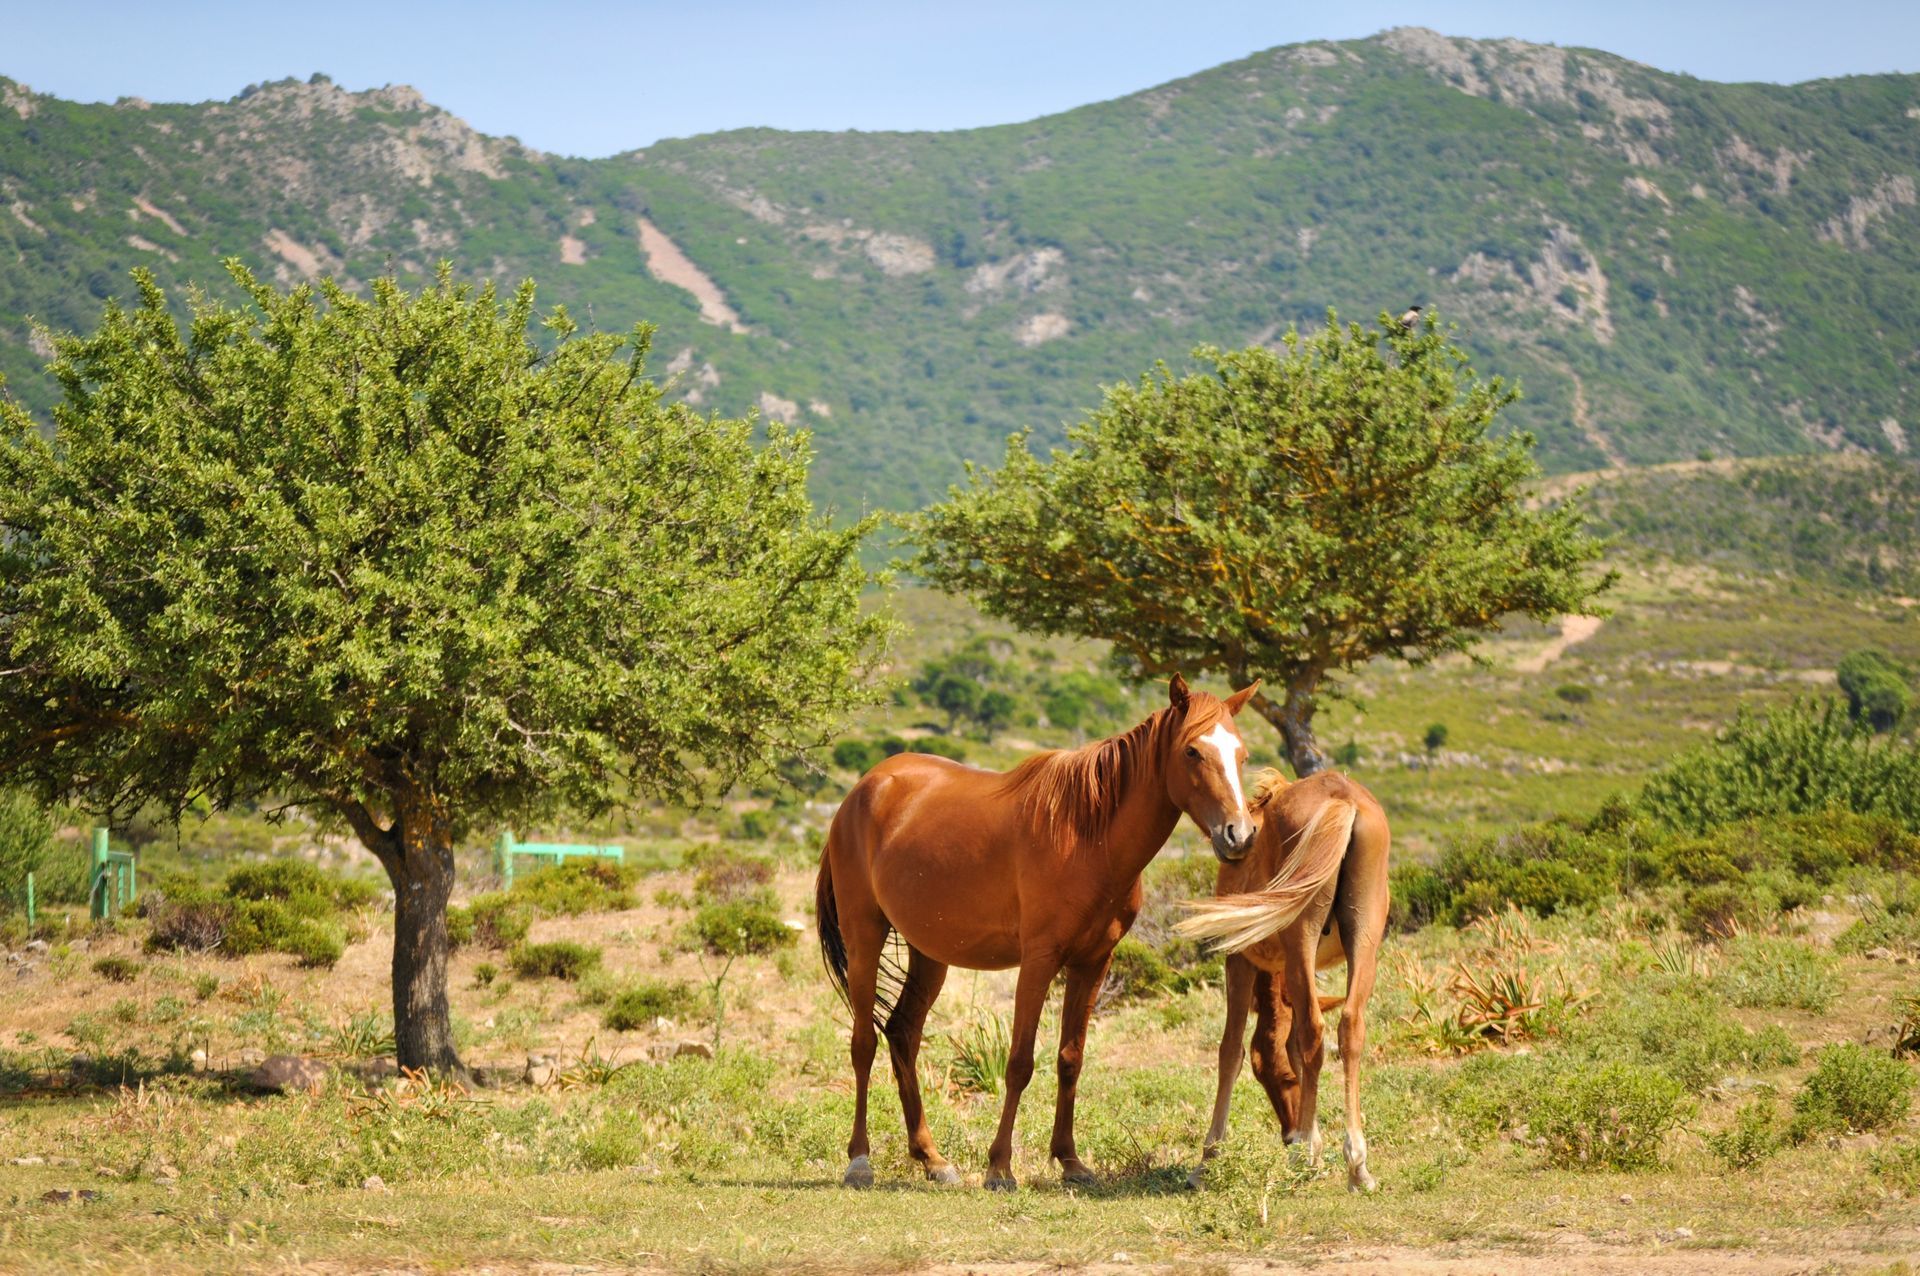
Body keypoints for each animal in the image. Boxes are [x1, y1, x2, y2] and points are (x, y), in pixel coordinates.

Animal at [816, 673, 1261, 1190]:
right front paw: (999, 1167)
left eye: (1242, 755)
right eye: (1192, 751)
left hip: (929, 952)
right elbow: (1019, 1062)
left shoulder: (1094, 961)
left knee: (902, 1033)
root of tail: (862, 790)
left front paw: (1070, 1160)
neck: (1088, 836)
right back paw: (859, 1161)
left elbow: (1070, 1058)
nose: (1239, 835)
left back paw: (932, 1159)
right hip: (864, 937)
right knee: (863, 1043)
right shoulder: (1039, 960)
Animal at [1176, 768, 1391, 1193]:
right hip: (1364, 942)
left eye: (1272, 1074)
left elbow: (1231, 1051)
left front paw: (1207, 1160)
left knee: (1312, 1031)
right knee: (1348, 1028)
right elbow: (1294, 1046)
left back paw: (1303, 1153)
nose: (1289, 1132)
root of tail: (1342, 797)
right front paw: (1317, 1147)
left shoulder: (1239, 960)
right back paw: (1356, 1164)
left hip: (1300, 942)